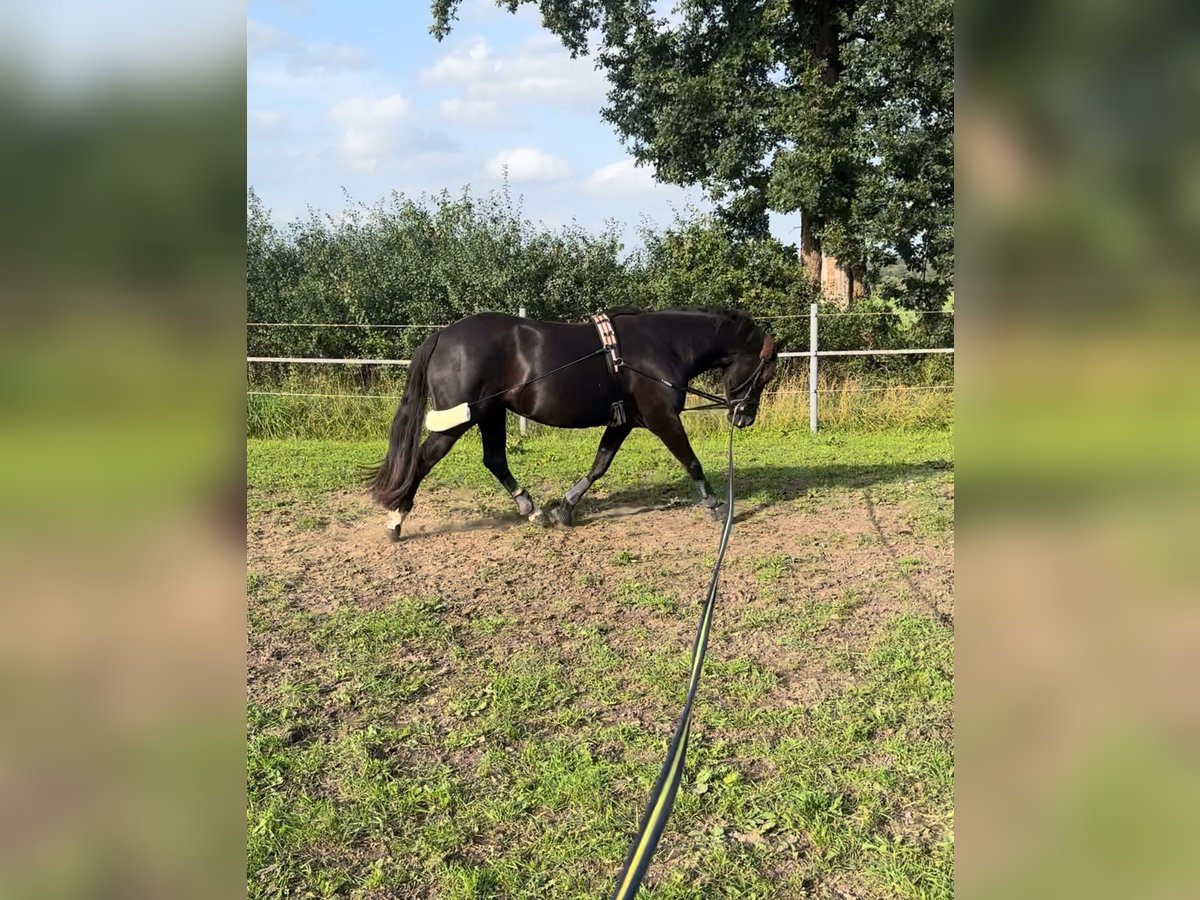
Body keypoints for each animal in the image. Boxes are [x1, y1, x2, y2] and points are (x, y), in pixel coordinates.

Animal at [364, 307, 777, 540]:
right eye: (766, 373)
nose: (744, 417)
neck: (662, 346)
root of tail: (442, 335)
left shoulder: (624, 421)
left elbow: (599, 465)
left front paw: (565, 508)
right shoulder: (662, 417)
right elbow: (691, 462)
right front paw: (717, 507)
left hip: (491, 414)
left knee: (494, 459)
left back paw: (532, 510)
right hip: (459, 421)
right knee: (422, 461)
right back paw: (395, 522)